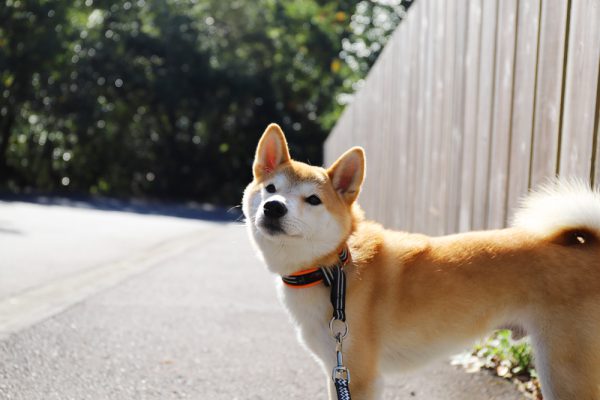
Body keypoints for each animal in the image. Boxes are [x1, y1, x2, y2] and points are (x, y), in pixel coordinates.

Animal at [241, 123, 600, 398]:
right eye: (271, 188)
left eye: (313, 200)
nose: (274, 207)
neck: (332, 271)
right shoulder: (336, 368)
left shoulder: (358, 375)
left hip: (563, 373)